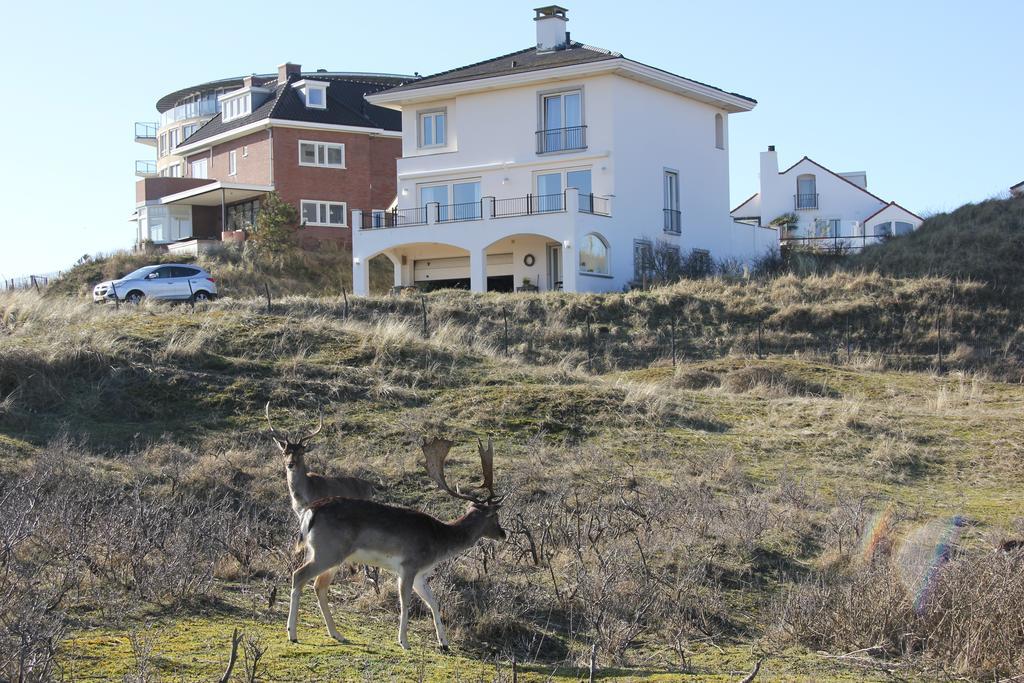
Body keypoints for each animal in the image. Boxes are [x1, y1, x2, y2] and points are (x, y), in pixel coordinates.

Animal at [286, 436, 505, 651]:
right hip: (328, 551)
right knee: (299, 575)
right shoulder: (409, 565)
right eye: (495, 516)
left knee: (319, 585)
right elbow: (405, 602)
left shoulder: (420, 574)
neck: (439, 541)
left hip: (326, 554)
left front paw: (444, 643)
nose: (503, 533)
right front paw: (404, 642)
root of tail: (309, 511)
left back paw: (336, 634)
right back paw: (293, 634)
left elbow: (433, 603)